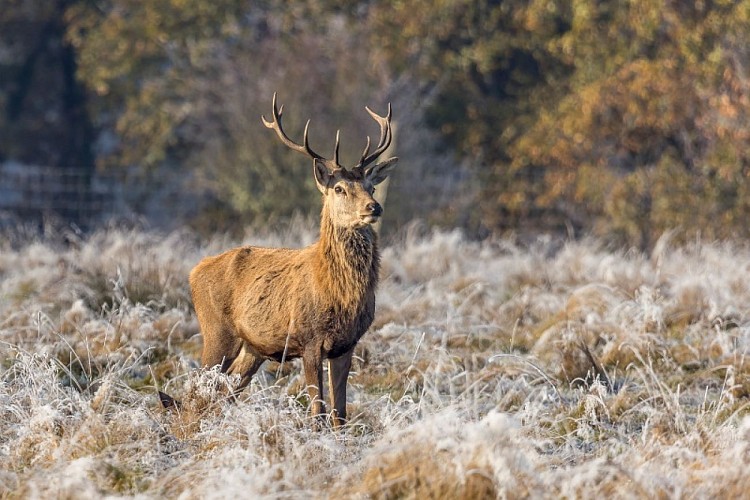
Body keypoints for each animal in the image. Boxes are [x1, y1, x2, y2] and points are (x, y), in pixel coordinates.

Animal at [181, 93, 397, 427]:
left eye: (371, 186)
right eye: (339, 188)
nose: (373, 207)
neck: (340, 293)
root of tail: (195, 270)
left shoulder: (346, 345)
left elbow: (340, 413)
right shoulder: (309, 339)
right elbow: (318, 411)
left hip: (252, 348)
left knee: (223, 391)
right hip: (216, 330)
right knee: (195, 388)